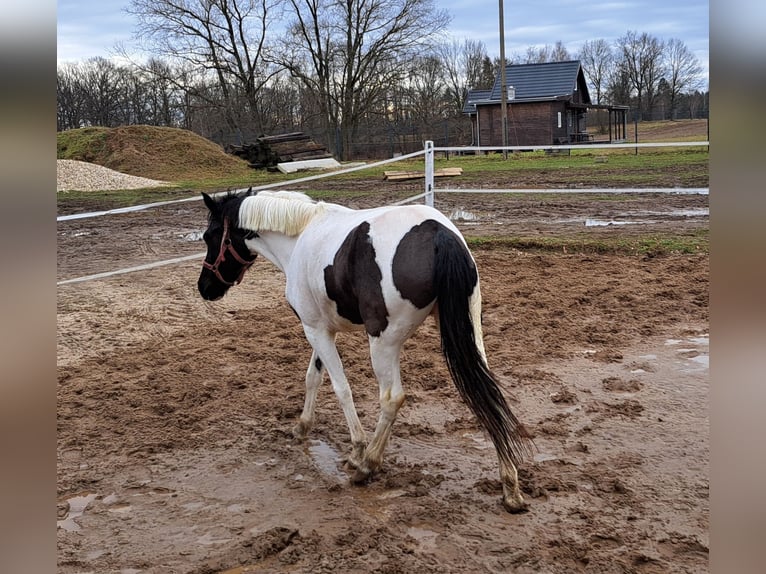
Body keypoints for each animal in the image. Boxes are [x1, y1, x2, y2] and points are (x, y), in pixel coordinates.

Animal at [198, 191, 536, 516]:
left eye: (210, 236)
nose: (205, 288)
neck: (301, 234)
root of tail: (439, 234)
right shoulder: (322, 329)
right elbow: (312, 378)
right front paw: (302, 426)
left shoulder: (314, 329)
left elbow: (340, 387)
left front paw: (356, 450)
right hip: (470, 332)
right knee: (489, 396)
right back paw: (510, 487)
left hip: (383, 344)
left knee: (392, 398)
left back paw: (368, 465)